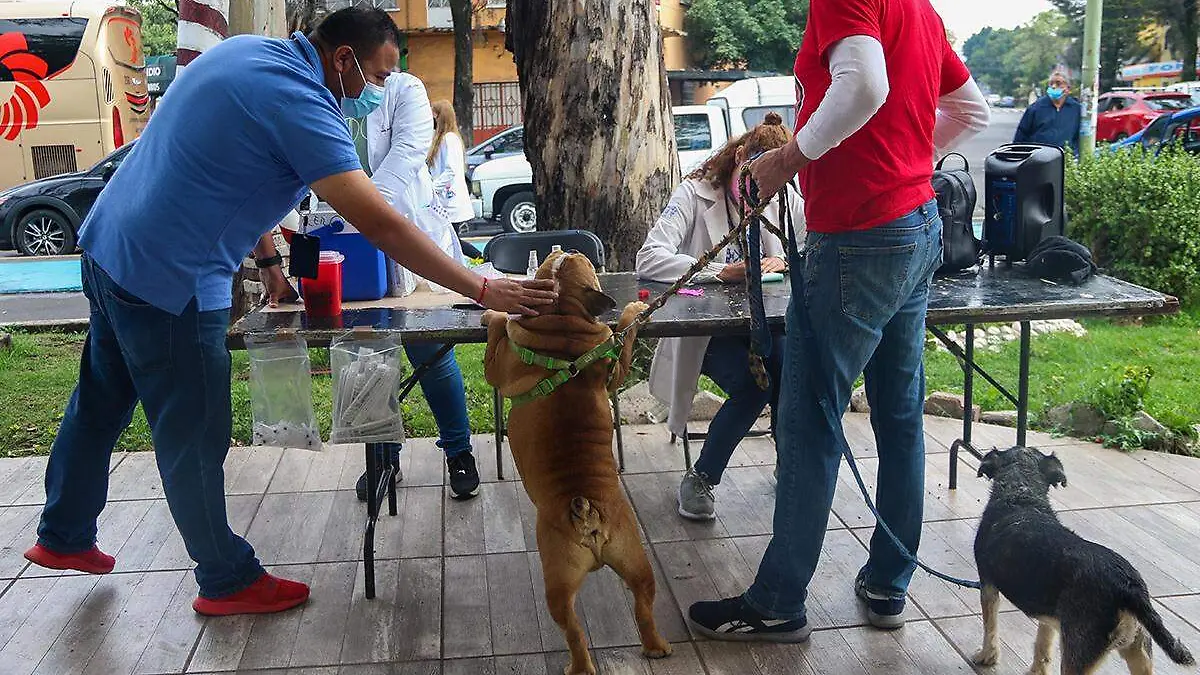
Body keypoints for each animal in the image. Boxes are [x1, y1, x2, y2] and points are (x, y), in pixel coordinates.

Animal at [480, 251, 672, 672]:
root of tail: (587, 515)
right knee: (643, 606)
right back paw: (656, 646)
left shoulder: (496, 367)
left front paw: (493, 314)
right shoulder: (613, 369)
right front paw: (635, 312)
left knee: (572, 631)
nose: (560, 246)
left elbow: (500, 329)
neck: (561, 319)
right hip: (636, 559)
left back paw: (580, 665)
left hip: (558, 580)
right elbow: (624, 336)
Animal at [969, 444, 1195, 667]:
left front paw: (987, 656)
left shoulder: (988, 586)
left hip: (1080, 650)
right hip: (1138, 648)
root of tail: (1130, 589)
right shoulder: (1048, 617)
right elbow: (1043, 647)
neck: (1021, 495)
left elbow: (990, 627)